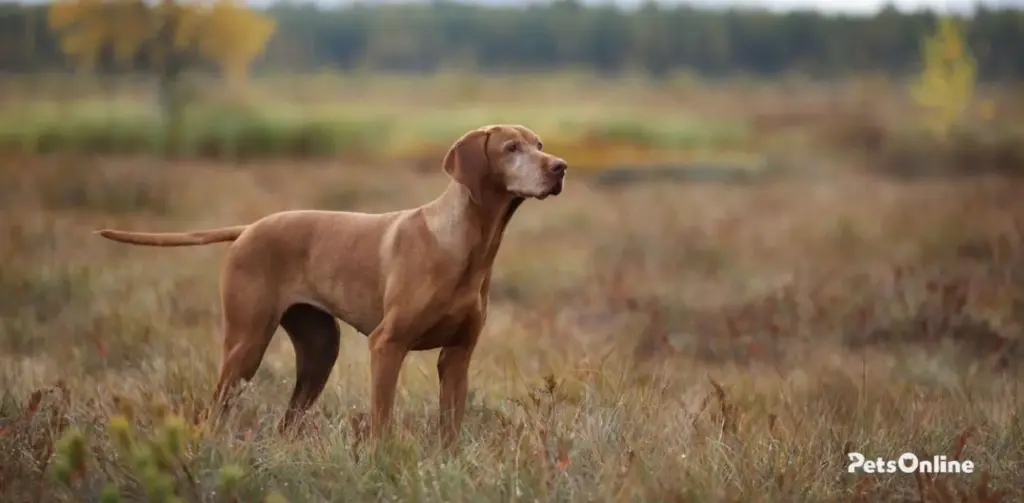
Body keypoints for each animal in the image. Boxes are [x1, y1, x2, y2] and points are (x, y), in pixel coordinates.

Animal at [96, 123, 569, 446]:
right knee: (214, 412)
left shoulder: (457, 357)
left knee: (288, 422)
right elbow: (382, 421)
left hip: (319, 350)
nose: (560, 167)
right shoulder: (387, 345)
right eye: (511, 148)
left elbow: (450, 428)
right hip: (245, 346)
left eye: (540, 145)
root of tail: (249, 228)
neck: (468, 244)